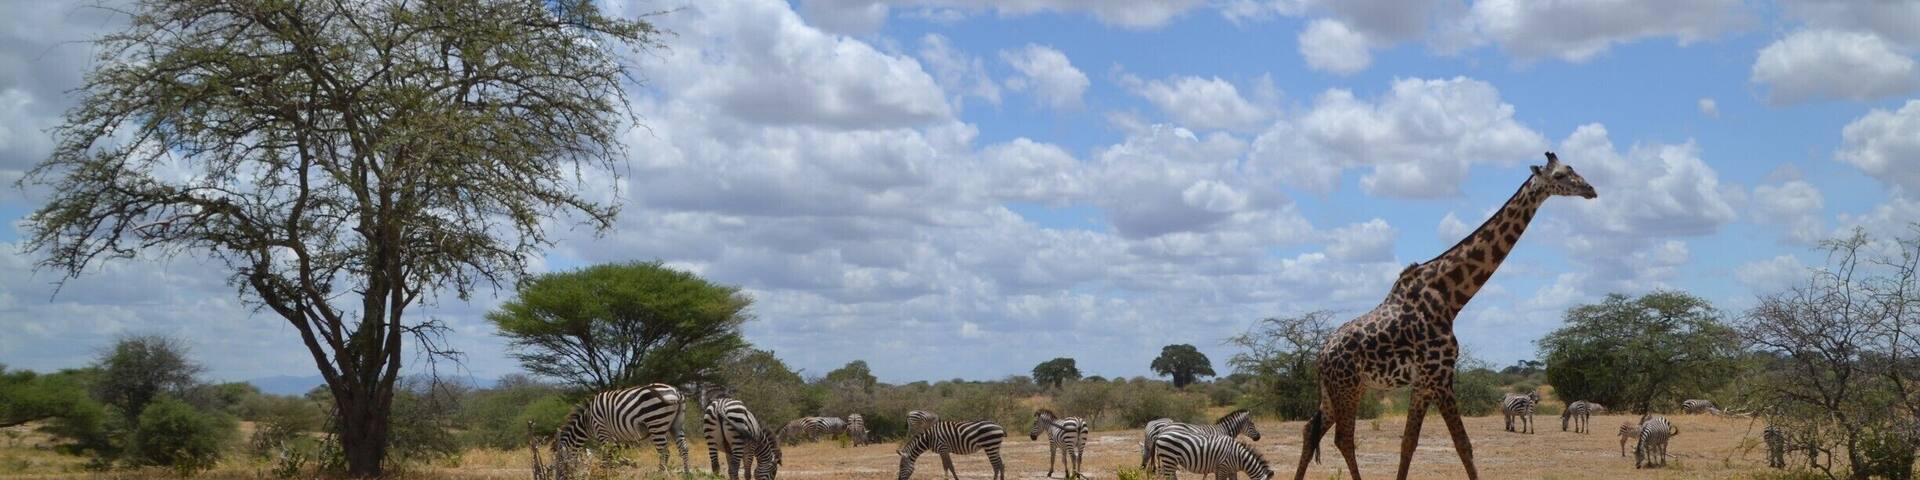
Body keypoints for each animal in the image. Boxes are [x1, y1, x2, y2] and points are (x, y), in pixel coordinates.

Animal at [548, 383, 691, 478]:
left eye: (559, 461)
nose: (559, 477)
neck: (587, 421)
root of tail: (676, 391)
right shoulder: (614, 436)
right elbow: (613, 455)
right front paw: (613, 471)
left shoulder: (602, 431)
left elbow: (606, 456)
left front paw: (604, 473)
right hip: (676, 425)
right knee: (683, 448)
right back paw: (686, 473)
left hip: (656, 422)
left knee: (664, 452)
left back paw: (660, 474)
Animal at [1292, 152, 1597, 480]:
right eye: (1561, 175)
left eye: (1573, 169)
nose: (1590, 189)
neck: (1450, 298)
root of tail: (1321, 355)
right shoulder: (1440, 376)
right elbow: (1463, 444)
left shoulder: (1424, 382)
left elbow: (1408, 443)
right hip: (1346, 387)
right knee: (1343, 438)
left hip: (1339, 390)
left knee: (1310, 430)